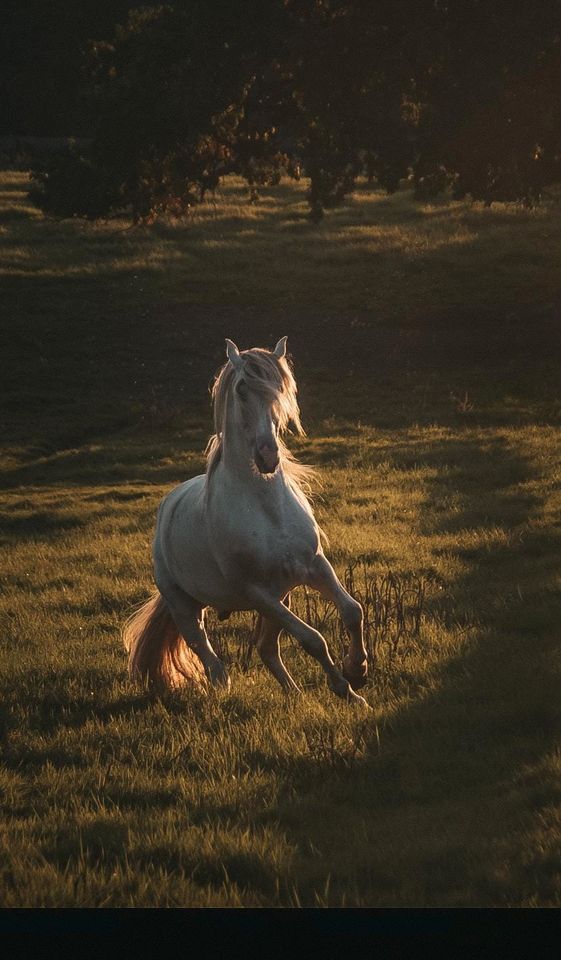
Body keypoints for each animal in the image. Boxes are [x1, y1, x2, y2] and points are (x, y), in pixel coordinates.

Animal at [123, 338, 368, 704]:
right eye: (241, 389)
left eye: (281, 388)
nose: (267, 456)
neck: (266, 509)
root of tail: (169, 504)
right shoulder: (255, 592)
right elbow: (313, 639)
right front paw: (345, 687)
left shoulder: (314, 567)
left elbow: (353, 611)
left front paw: (357, 675)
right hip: (185, 605)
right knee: (209, 657)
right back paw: (222, 694)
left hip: (282, 596)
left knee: (266, 649)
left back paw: (295, 694)